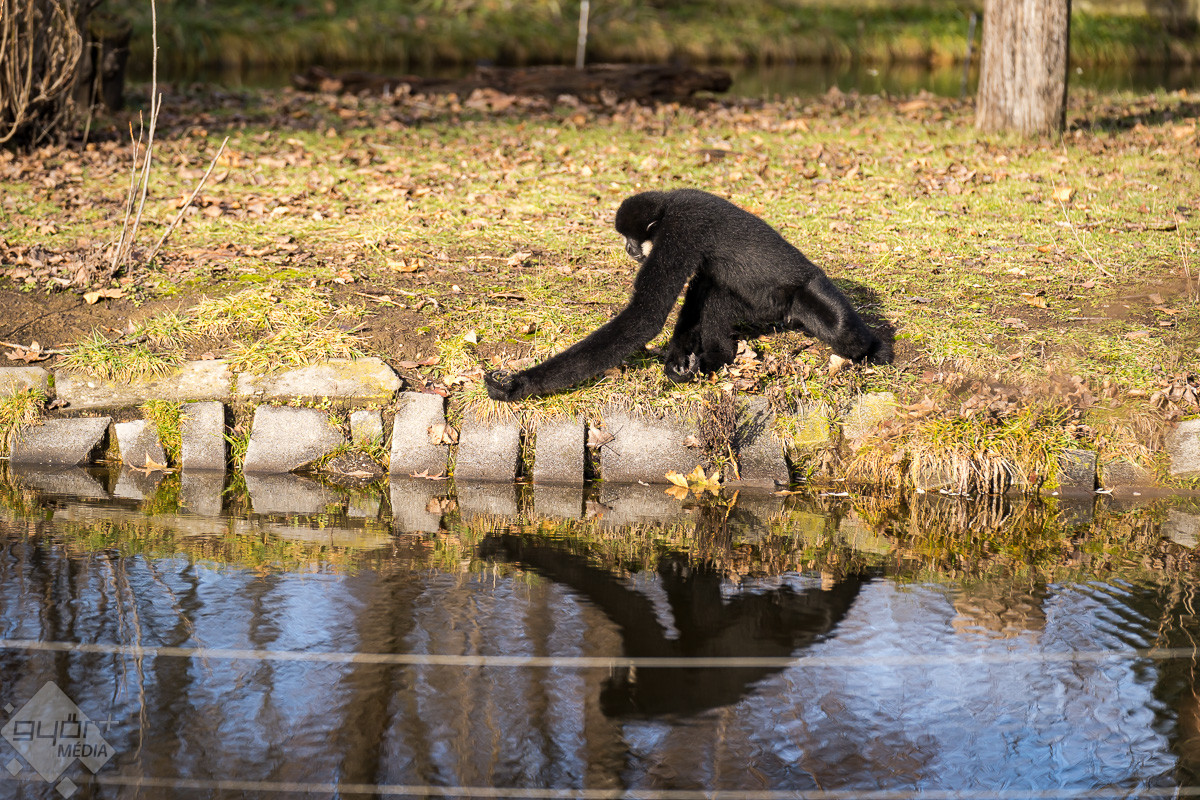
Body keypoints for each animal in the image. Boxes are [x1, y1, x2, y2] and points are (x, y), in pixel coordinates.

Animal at [484, 188, 887, 402]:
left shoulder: (680, 230)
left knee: (840, 328)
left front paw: (518, 384)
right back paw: (715, 358)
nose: (629, 249)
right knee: (715, 292)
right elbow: (699, 286)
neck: (668, 205)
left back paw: (872, 348)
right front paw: (678, 360)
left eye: (631, 238)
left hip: (798, 292)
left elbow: (645, 316)